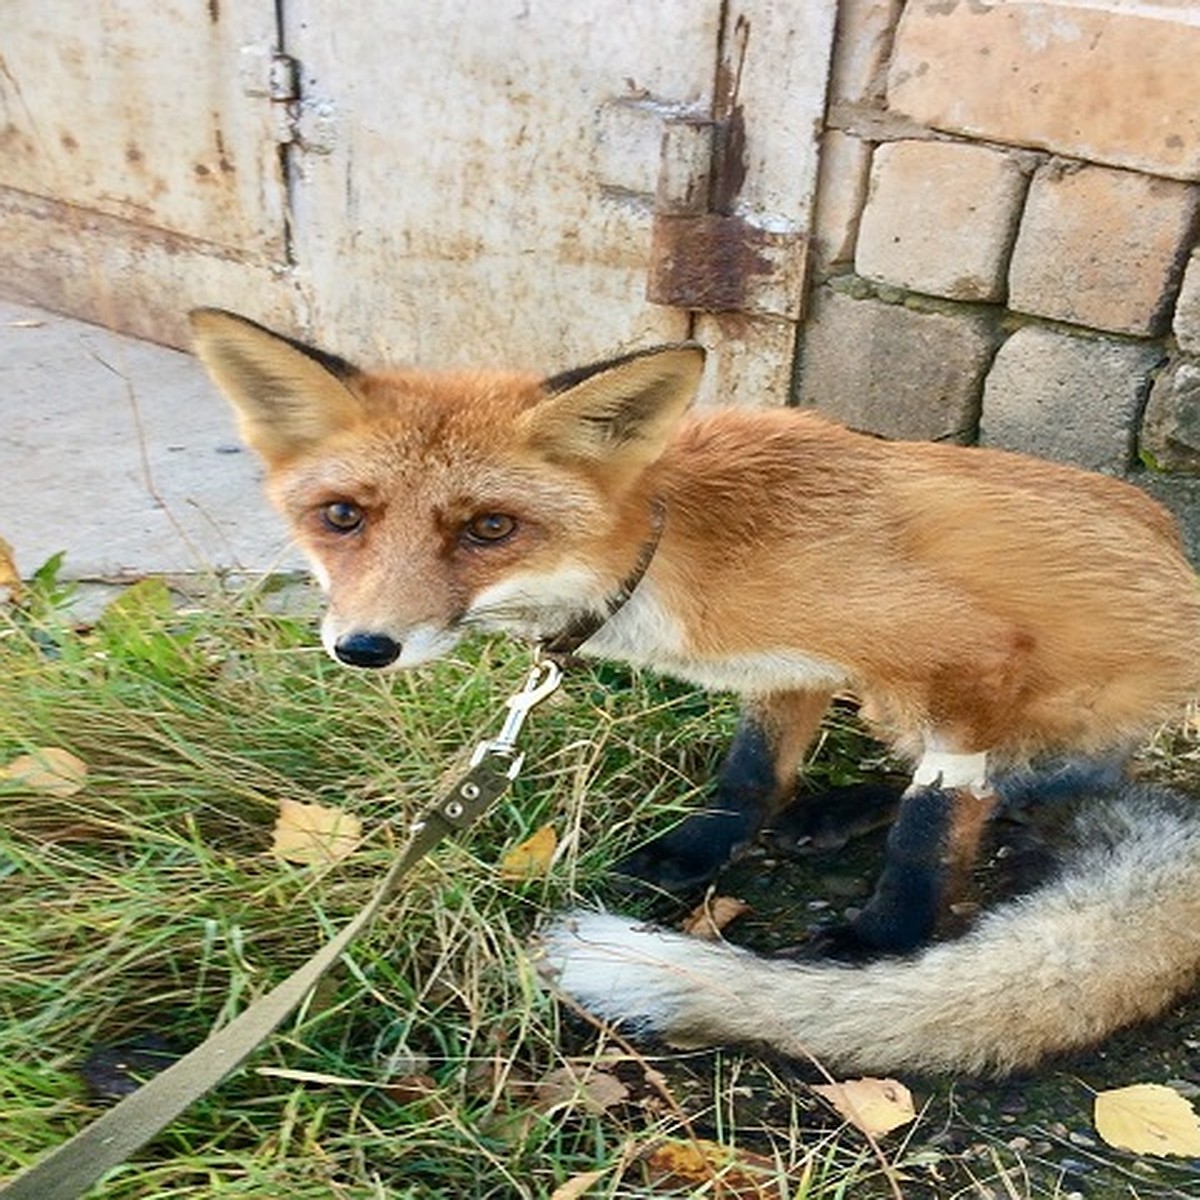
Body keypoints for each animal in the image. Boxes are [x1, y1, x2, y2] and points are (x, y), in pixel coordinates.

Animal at [189, 304, 1200, 969]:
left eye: (490, 529)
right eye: (341, 517)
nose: (364, 647)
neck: (672, 553)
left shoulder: (968, 653)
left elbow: (935, 820)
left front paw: (884, 939)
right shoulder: (794, 666)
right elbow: (750, 776)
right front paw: (695, 855)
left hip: (944, 703)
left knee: (1015, 793)